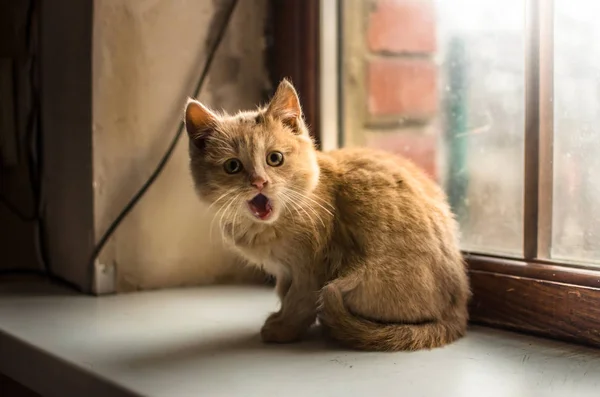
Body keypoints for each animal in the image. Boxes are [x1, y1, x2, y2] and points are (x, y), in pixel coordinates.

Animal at [183, 78, 468, 350]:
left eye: (275, 158)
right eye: (233, 166)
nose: (259, 182)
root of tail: (458, 310)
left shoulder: (312, 271)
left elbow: (298, 302)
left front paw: (283, 329)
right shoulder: (285, 272)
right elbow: (284, 293)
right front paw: (279, 317)